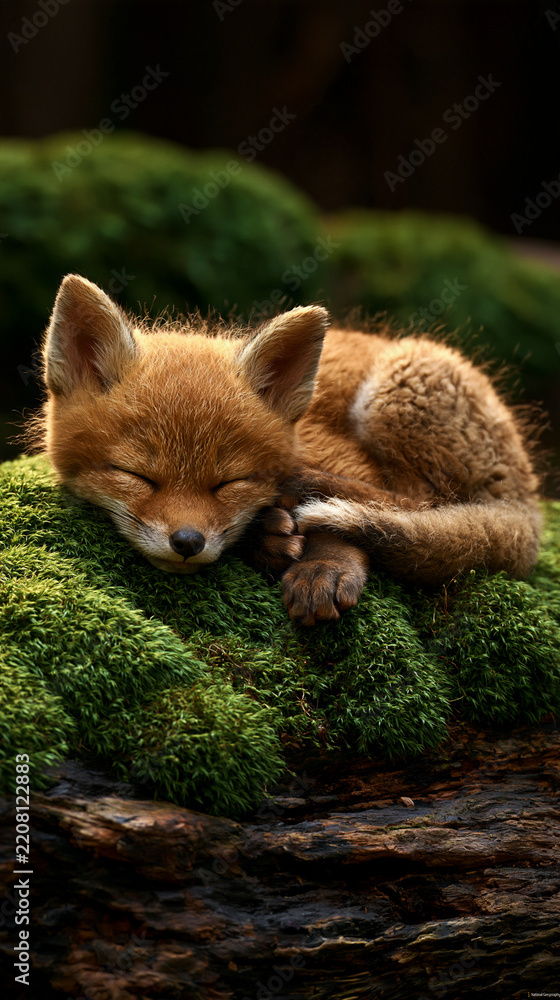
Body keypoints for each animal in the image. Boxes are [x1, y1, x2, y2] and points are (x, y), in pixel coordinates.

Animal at [36, 273, 541, 626]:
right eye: (137, 475)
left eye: (229, 482)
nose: (187, 543)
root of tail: (528, 501)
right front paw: (267, 538)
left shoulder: (343, 454)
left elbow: (345, 520)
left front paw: (326, 564)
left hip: (400, 386)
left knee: (425, 502)